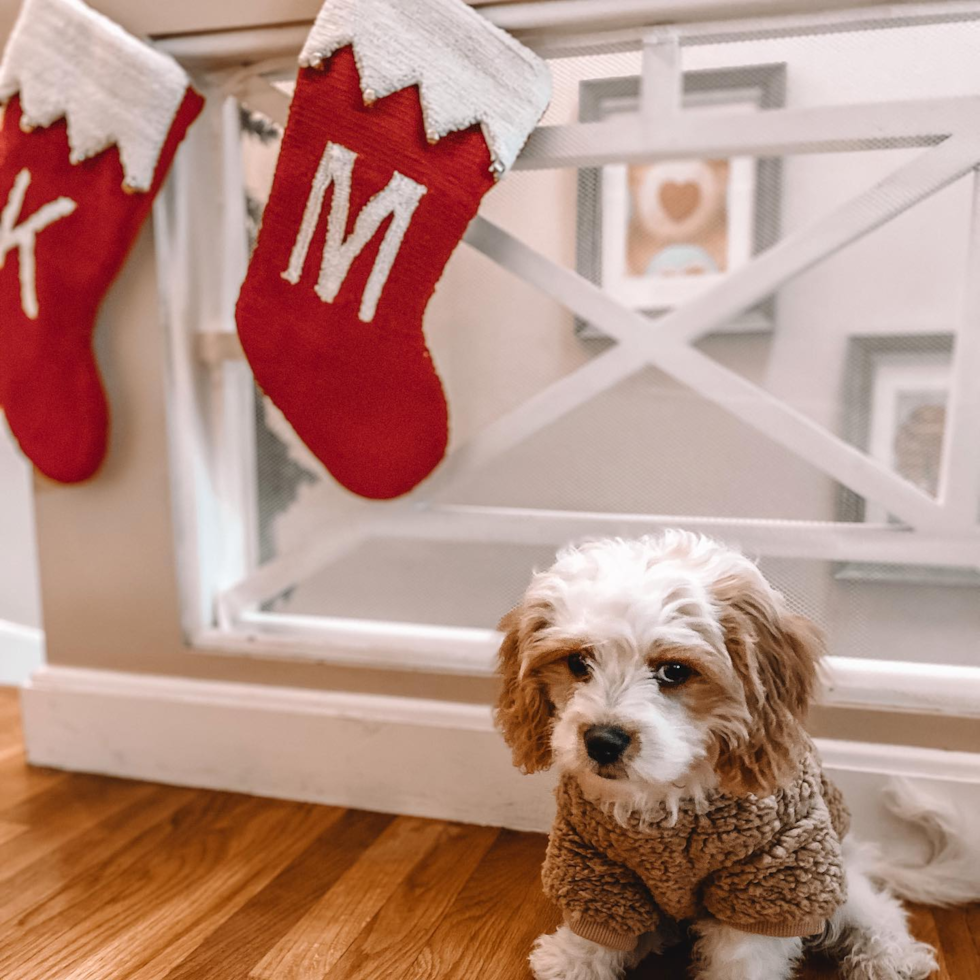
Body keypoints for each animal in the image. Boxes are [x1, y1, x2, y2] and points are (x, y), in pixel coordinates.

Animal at [498, 528, 980, 980]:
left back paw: (890, 955)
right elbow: (596, 930)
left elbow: (745, 956)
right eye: (578, 663)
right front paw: (573, 963)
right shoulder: (593, 861)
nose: (602, 740)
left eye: (674, 671)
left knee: (878, 910)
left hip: (835, 872)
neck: (667, 796)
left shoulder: (775, 873)